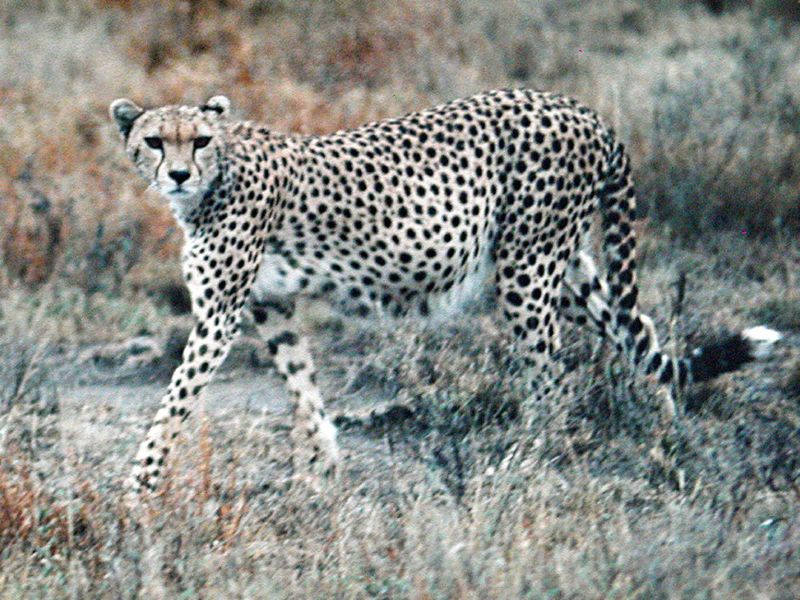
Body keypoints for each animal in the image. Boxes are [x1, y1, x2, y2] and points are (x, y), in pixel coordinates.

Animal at [109, 89, 781, 492]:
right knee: (637, 330)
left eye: (198, 141)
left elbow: (174, 401)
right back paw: (668, 431)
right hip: (557, 267)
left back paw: (530, 459)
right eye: (154, 141)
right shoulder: (271, 306)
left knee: (550, 375)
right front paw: (323, 467)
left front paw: (139, 486)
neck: (216, 179)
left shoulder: (220, 315)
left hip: (526, 270)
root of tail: (580, 109)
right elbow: (302, 386)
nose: (177, 174)